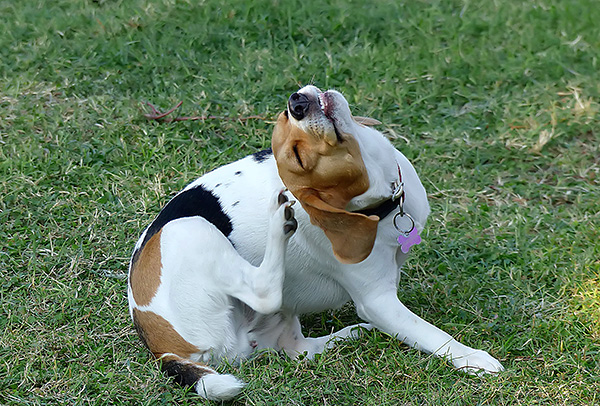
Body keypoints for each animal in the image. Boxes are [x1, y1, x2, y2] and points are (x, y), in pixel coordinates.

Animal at [129, 85, 504, 400]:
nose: (296, 102)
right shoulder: (377, 301)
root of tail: (162, 348)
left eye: (284, 115)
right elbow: (432, 335)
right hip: (188, 229)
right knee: (264, 291)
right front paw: (473, 359)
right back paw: (279, 223)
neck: (379, 205)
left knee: (300, 350)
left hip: (277, 322)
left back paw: (352, 334)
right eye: (298, 157)